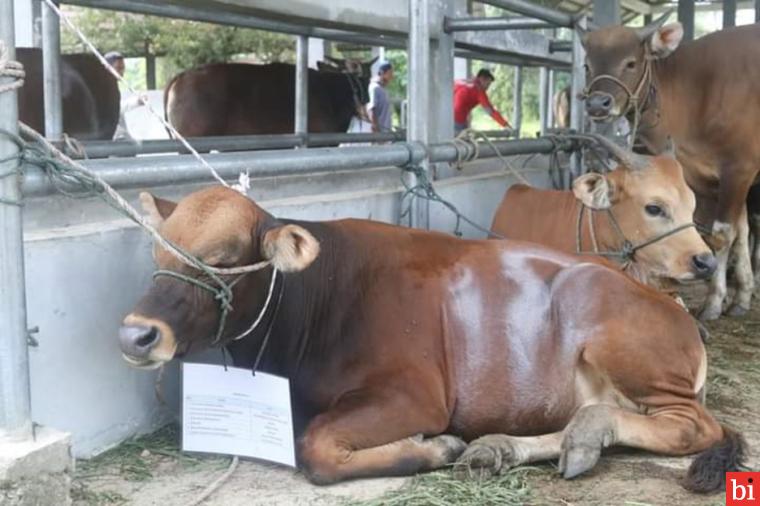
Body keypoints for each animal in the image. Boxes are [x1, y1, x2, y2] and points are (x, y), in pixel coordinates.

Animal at [580, 19, 760, 322]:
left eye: (631, 63)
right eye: (587, 65)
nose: (597, 104)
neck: (698, 93)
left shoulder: (738, 171)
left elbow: (722, 235)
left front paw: (714, 301)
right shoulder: (719, 181)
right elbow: (740, 232)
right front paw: (742, 296)